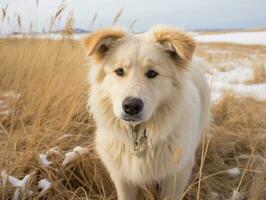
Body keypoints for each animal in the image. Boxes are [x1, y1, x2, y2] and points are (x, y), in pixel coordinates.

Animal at [82, 25, 210, 199]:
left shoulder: (176, 175)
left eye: (152, 73)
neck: (138, 138)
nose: (131, 106)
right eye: (119, 71)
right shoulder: (122, 177)